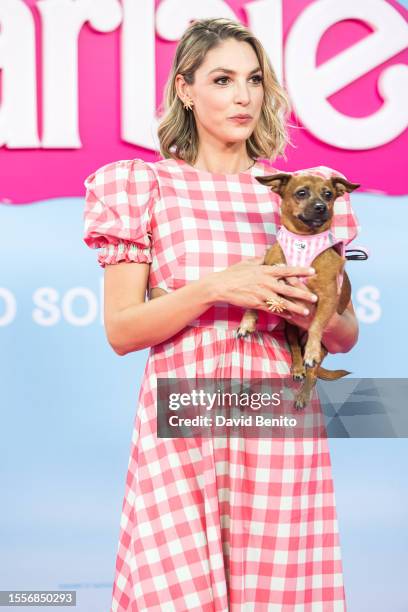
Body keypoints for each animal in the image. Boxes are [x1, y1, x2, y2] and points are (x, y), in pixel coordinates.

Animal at [236, 171, 360, 412]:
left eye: (329, 195)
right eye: (301, 193)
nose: (321, 207)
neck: (303, 241)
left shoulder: (327, 297)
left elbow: (316, 325)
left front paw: (310, 350)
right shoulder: (266, 278)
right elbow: (253, 304)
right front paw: (247, 322)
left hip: (322, 348)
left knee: (313, 374)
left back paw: (304, 389)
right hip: (290, 330)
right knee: (294, 349)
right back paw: (297, 368)